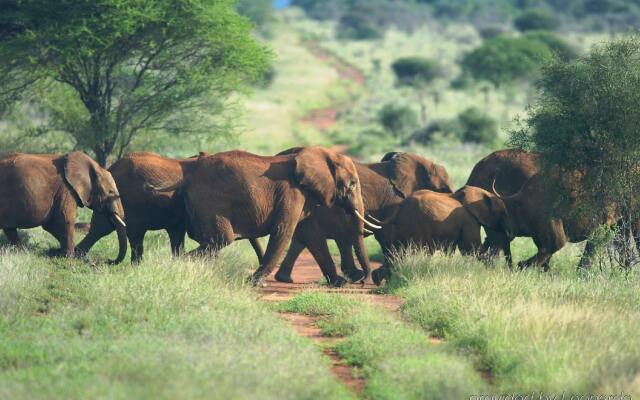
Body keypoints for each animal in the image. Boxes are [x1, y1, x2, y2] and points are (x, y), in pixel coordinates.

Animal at [75, 152, 264, 262]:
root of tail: (112, 167)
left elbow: (178, 235)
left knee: (100, 228)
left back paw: (79, 257)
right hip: (130, 201)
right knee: (133, 234)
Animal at [154, 147, 376, 288]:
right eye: (353, 184)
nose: (362, 281)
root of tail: (188, 176)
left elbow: (311, 235)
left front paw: (339, 283)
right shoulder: (291, 193)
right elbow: (283, 230)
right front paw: (256, 283)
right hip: (209, 201)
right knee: (221, 239)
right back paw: (178, 265)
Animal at [272, 150, 452, 284]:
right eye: (444, 190)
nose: (366, 281)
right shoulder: (394, 202)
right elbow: (388, 237)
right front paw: (386, 277)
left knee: (306, 238)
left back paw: (285, 278)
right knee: (315, 236)